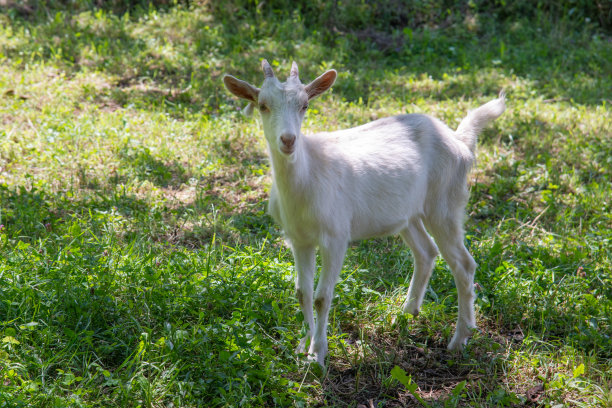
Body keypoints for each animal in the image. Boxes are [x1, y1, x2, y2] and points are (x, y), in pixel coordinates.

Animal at [222, 59, 504, 366]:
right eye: (263, 105)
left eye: (305, 105)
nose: (288, 140)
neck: (307, 177)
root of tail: (458, 140)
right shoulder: (298, 239)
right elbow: (302, 293)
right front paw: (302, 346)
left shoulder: (335, 236)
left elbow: (322, 297)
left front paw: (318, 355)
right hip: (408, 214)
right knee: (426, 251)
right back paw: (406, 315)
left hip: (445, 204)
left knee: (464, 264)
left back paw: (459, 339)